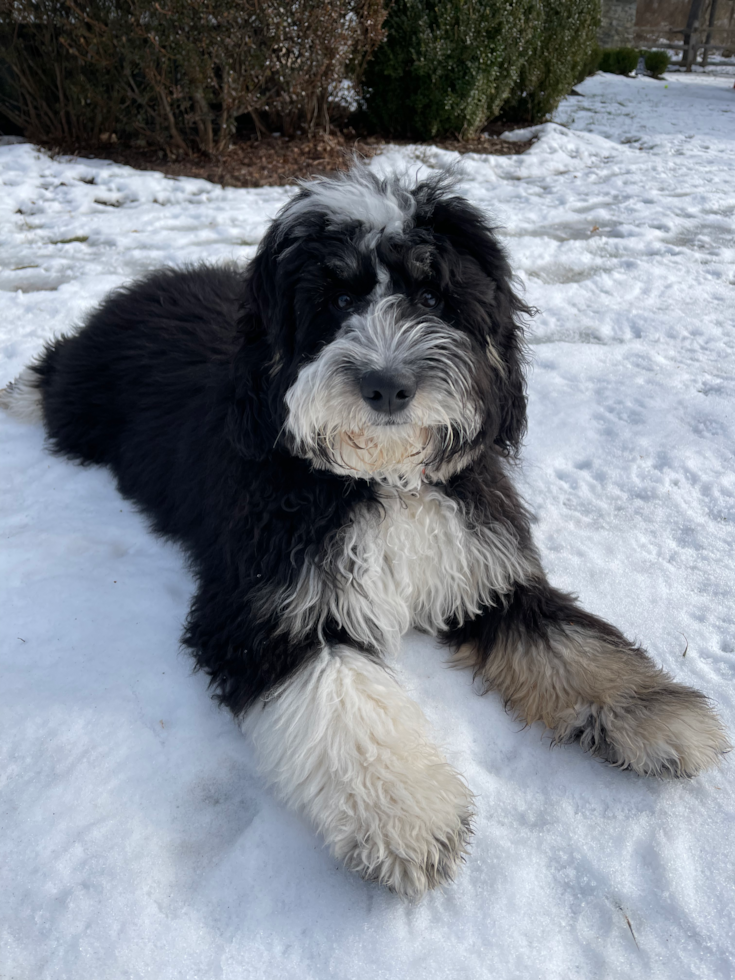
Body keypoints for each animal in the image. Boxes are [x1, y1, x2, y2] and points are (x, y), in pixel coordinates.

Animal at [2, 165, 732, 900]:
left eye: (432, 293)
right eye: (334, 300)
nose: (388, 386)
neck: (383, 481)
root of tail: (146, 282)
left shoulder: (486, 568)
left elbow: (571, 644)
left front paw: (655, 712)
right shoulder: (270, 608)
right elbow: (344, 702)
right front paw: (408, 816)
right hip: (84, 404)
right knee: (56, 373)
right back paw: (20, 391)